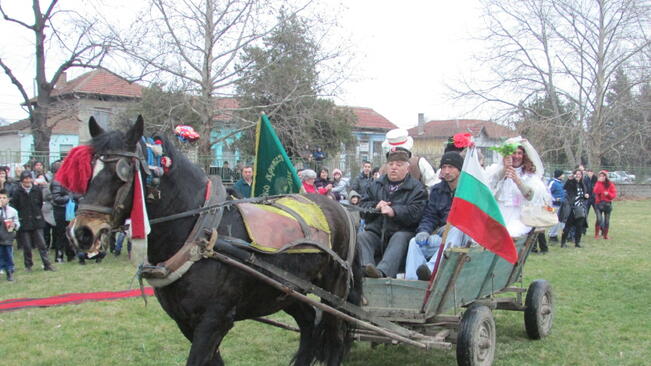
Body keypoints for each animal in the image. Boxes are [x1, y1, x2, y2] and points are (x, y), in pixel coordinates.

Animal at [68, 118, 364, 366]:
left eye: (124, 171)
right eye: (89, 170)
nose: (82, 232)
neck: (201, 234)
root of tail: (341, 209)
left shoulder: (215, 320)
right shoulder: (186, 321)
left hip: (335, 291)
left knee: (335, 336)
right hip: (285, 290)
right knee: (308, 323)